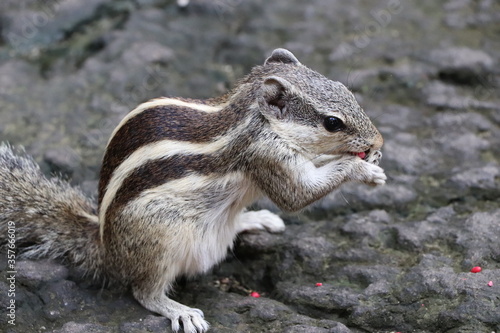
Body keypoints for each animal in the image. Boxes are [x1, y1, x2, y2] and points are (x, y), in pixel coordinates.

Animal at [0, 48, 386, 332]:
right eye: (332, 123)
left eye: (345, 89)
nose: (378, 141)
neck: (251, 117)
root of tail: (106, 247)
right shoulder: (265, 155)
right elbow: (296, 196)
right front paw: (363, 169)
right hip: (159, 238)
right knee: (143, 291)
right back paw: (177, 310)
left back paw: (254, 219)